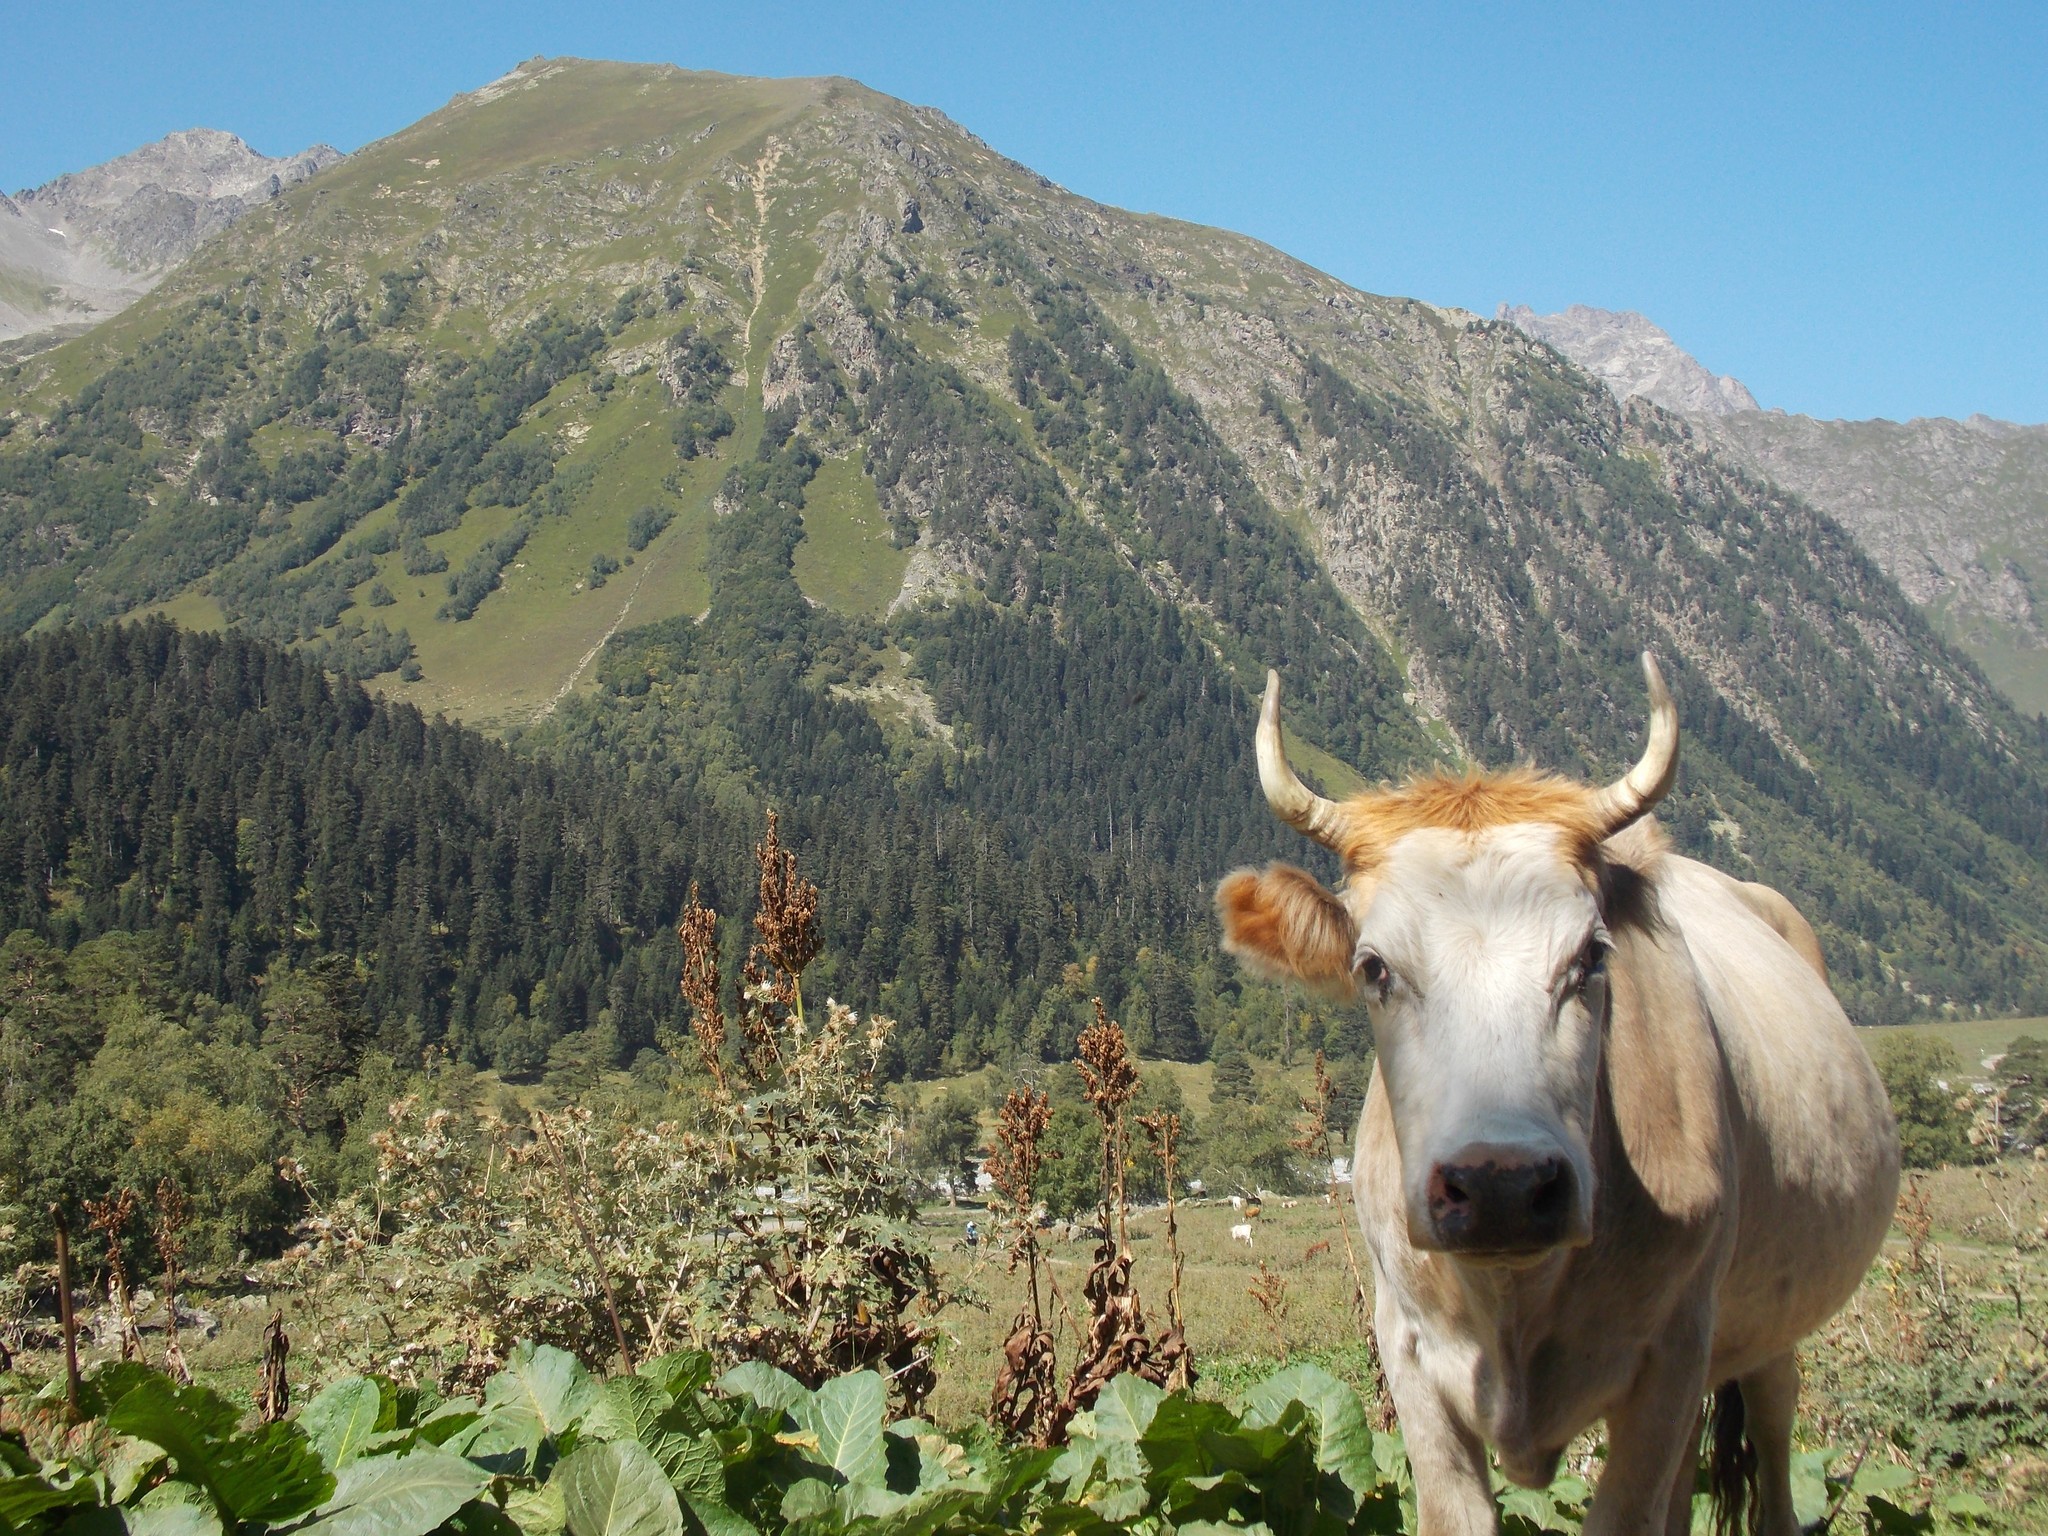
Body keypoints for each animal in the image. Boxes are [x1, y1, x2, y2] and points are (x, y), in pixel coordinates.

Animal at [1212, 659, 1900, 1536]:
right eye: (1373, 967)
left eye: (1591, 956)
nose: (1500, 1185)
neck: (1513, 1303)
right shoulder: (1407, 1353)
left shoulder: (1673, 1354)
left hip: (1770, 1328)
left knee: (1774, 1435)